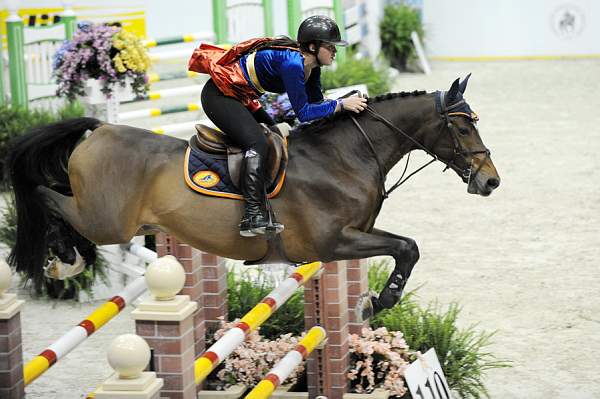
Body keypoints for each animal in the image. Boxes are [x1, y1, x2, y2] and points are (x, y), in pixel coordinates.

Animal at [7, 76, 500, 322]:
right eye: (462, 127)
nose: (491, 181)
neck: (344, 154)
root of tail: (100, 128)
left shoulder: (356, 232)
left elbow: (407, 246)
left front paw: (375, 301)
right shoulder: (333, 243)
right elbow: (406, 248)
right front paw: (378, 302)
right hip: (105, 221)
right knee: (46, 196)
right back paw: (64, 259)